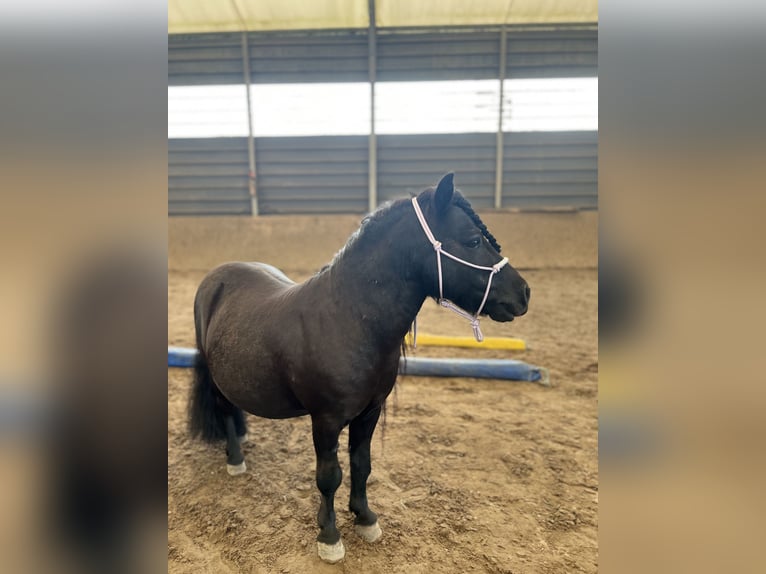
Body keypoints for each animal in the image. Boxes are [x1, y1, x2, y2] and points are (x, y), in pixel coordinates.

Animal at [189, 173, 532, 564]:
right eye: (474, 240)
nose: (524, 293)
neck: (348, 320)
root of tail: (216, 277)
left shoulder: (370, 412)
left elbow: (361, 465)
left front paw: (365, 518)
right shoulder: (325, 420)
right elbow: (328, 476)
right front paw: (329, 536)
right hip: (217, 378)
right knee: (225, 410)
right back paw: (235, 458)